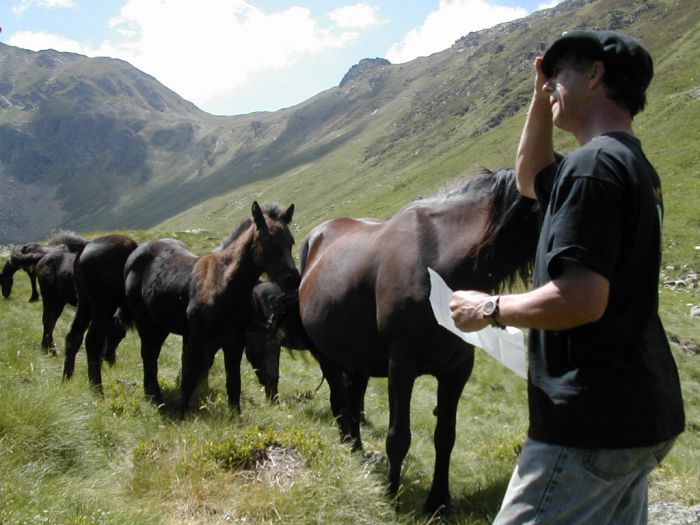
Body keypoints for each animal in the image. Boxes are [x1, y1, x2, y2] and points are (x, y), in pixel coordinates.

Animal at [63, 233, 139, 388]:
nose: (110, 359)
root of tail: (86, 245)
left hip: (85, 303)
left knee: (74, 336)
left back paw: (66, 380)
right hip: (103, 306)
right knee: (92, 341)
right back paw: (97, 388)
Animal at [123, 201, 298, 414]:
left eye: (291, 241)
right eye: (266, 239)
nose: (292, 279)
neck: (225, 285)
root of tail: (137, 251)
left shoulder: (235, 342)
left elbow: (233, 383)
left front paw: (235, 416)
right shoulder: (198, 338)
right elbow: (190, 375)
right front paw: (183, 413)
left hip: (161, 325)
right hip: (146, 322)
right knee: (149, 356)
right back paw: (155, 398)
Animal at [298, 169, 540, 516]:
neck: (439, 267)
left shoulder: (458, 369)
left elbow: (446, 437)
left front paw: (439, 502)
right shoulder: (402, 365)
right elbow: (399, 437)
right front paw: (392, 497)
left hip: (357, 357)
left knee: (352, 398)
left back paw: (357, 449)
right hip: (328, 354)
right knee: (339, 398)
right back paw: (350, 446)